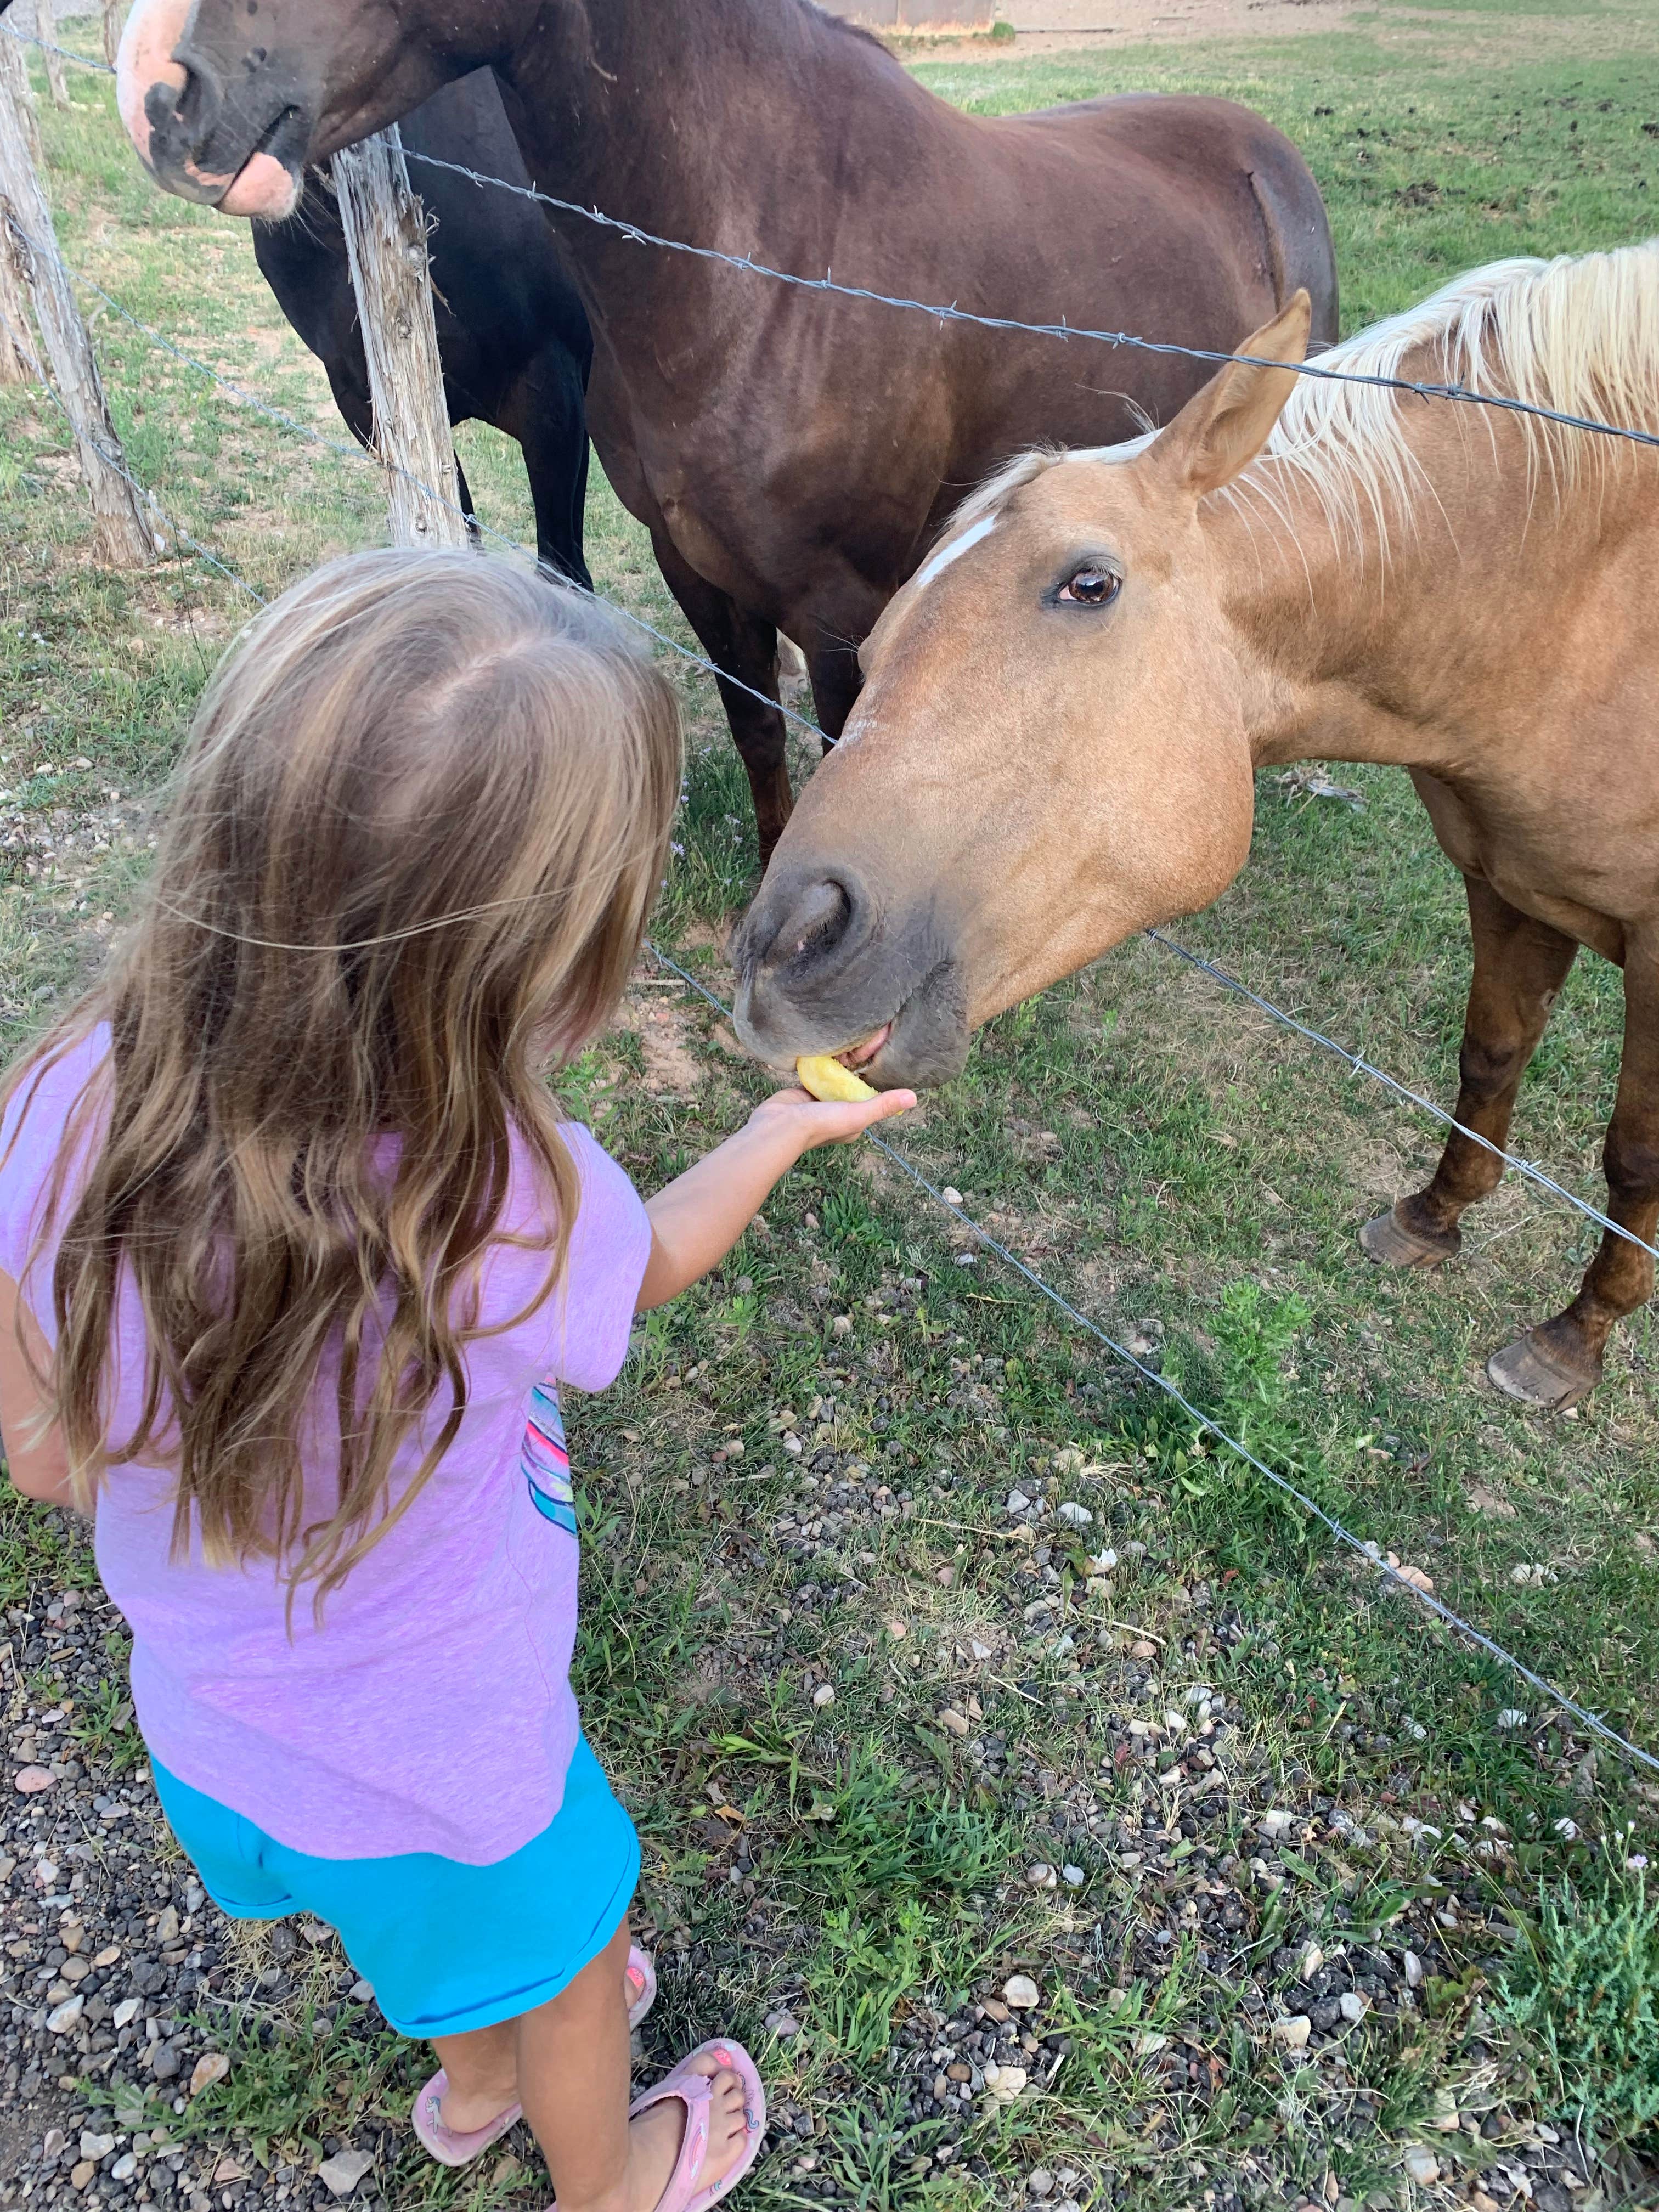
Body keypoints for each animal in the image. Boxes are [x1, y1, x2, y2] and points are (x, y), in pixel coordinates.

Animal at [114, 0, 1336, 854]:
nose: (165, 95)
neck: (770, 264)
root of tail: (1258, 147)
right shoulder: (694, 563)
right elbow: (755, 726)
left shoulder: (842, 603)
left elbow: (839, 749)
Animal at [738, 246, 1659, 1415]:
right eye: (878, 636)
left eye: (1087, 583)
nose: (782, 947)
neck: (1588, 612)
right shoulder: (1502, 878)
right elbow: (1488, 1054)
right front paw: (1430, 1218)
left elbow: (1632, 1156)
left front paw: (1573, 1337)